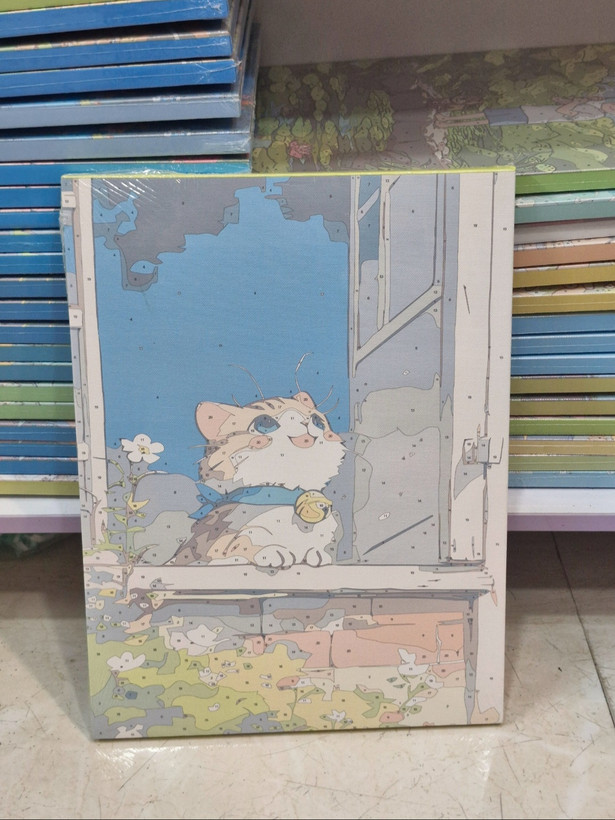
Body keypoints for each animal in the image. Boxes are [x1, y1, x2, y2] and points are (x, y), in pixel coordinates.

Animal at [169, 390, 346, 569]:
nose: (307, 421)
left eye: (318, 421)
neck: (283, 495)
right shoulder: (213, 542)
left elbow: (314, 545)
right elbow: (240, 542)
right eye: (265, 422)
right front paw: (272, 550)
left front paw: (316, 553)